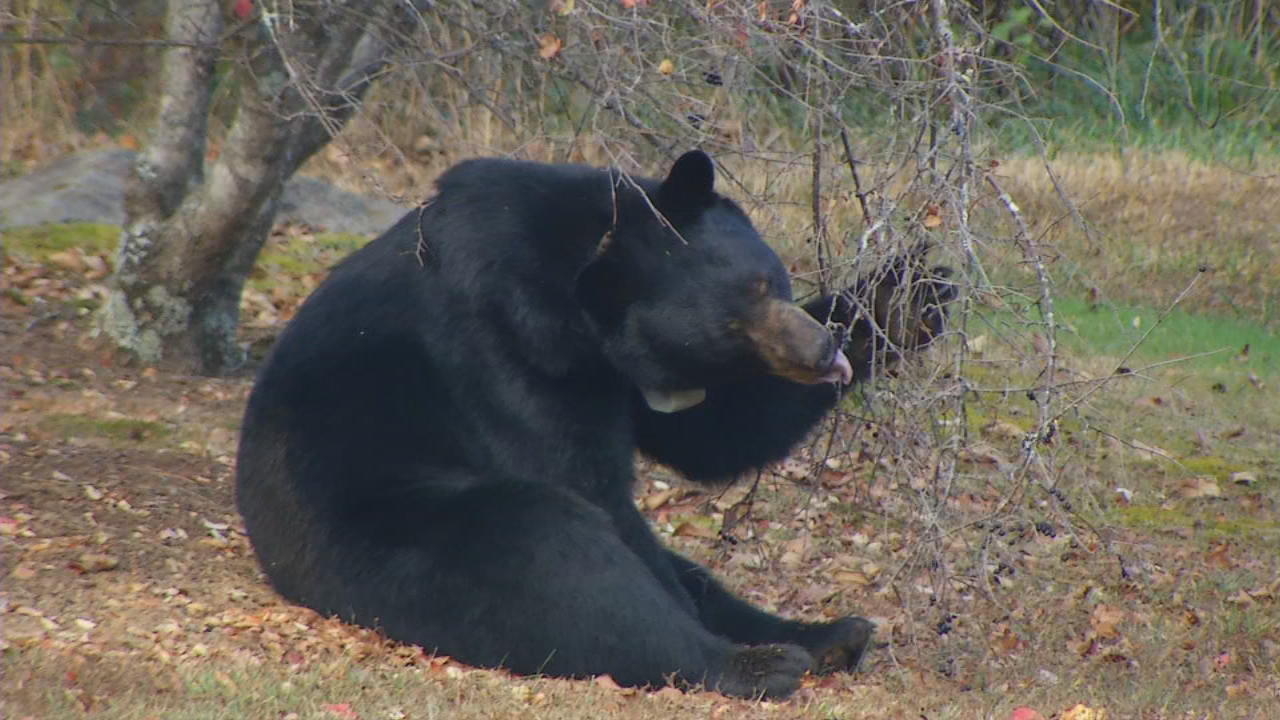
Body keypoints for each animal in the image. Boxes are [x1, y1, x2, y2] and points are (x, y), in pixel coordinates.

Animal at [240, 149, 957, 696]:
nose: (821, 352)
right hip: (394, 536)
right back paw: (753, 663)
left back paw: (829, 635)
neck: (579, 312)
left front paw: (907, 297)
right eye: (748, 301)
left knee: (698, 579)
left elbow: (717, 431)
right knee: (556, 557)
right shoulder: (499, 350)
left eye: (775, 283)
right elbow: (589, 485)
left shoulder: (618, 377)